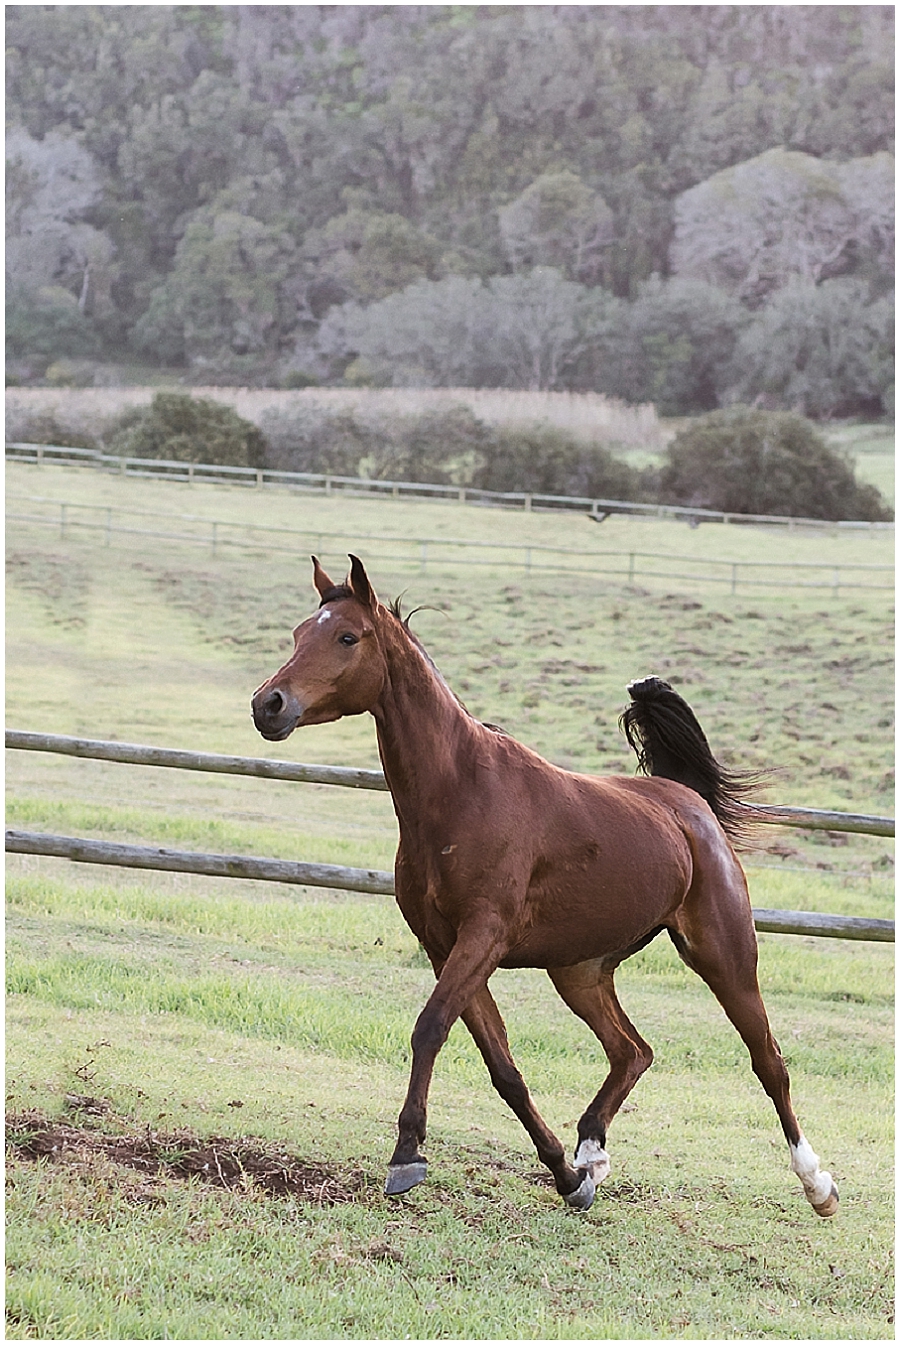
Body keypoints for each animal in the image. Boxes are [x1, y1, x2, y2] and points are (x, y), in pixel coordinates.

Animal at [251, 554, 838, 1218]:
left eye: (348, 637)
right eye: (300, 633)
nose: (269, 705)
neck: (461, 792)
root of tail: (688, 804)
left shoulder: (482, 936)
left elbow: (430, 1028)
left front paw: (406, 1157)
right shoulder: (445, 946)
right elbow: (501, 1065)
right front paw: (564, 1173)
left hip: (725, 957)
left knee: (770, 1062)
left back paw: (818, 1185)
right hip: (579, 971)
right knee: (633, 1051)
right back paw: (592, 1154)